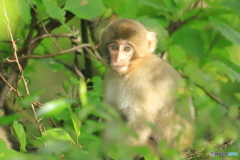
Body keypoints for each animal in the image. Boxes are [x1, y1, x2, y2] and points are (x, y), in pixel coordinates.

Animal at [99, 18, 195, 156]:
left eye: (127, 49)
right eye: (114, 47)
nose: (117, 59)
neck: (130, 71)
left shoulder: (143, 85)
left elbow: (141, 120)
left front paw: (119, 154)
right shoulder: (109, 77)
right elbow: (112, 114)